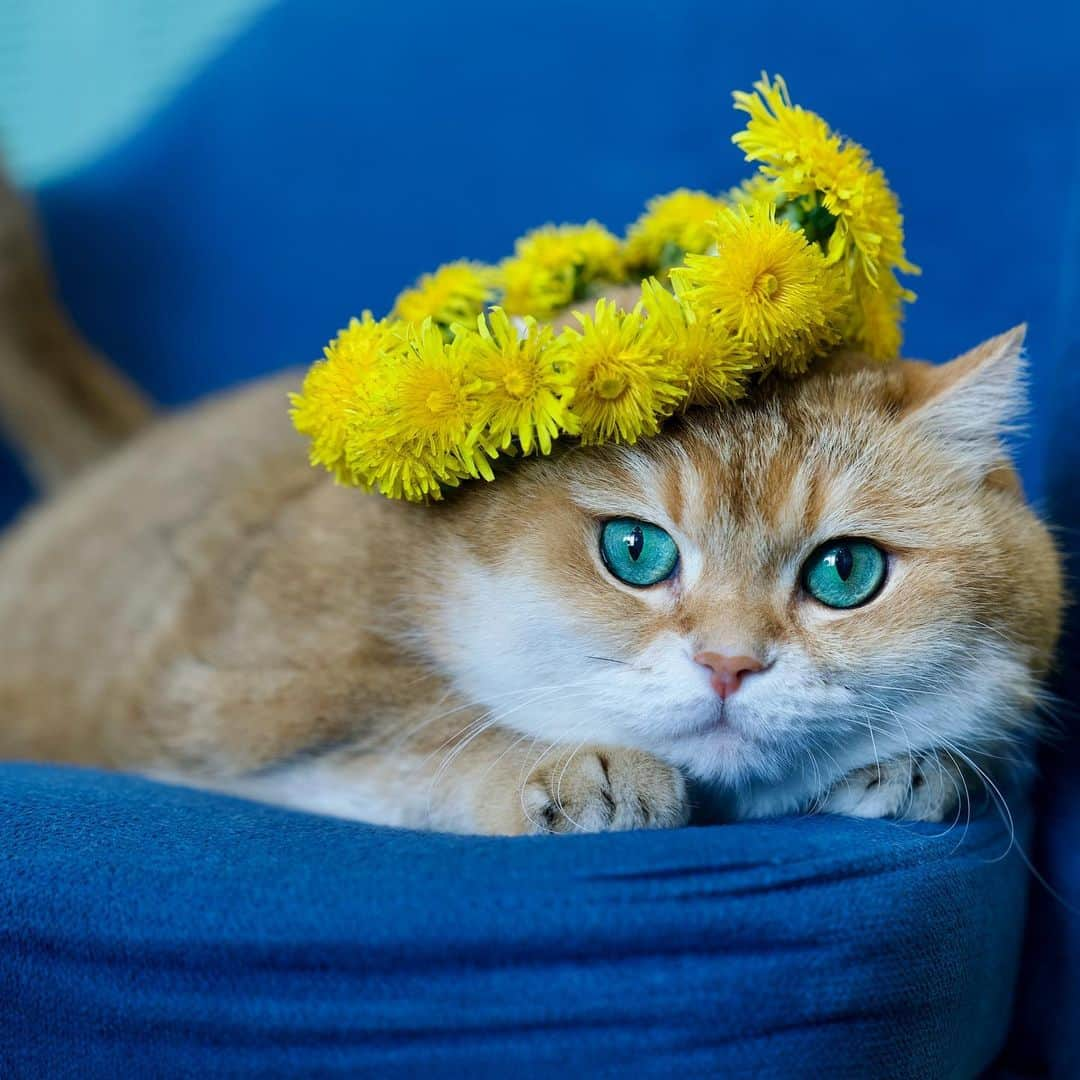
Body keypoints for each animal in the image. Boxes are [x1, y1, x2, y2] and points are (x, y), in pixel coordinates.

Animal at [0, 177, 1062, 833]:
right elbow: (415, 739)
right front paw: (561, 767)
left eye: (846, 571)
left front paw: (926, 764)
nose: (728, 666)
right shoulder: (220, 714)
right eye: (634, 552)